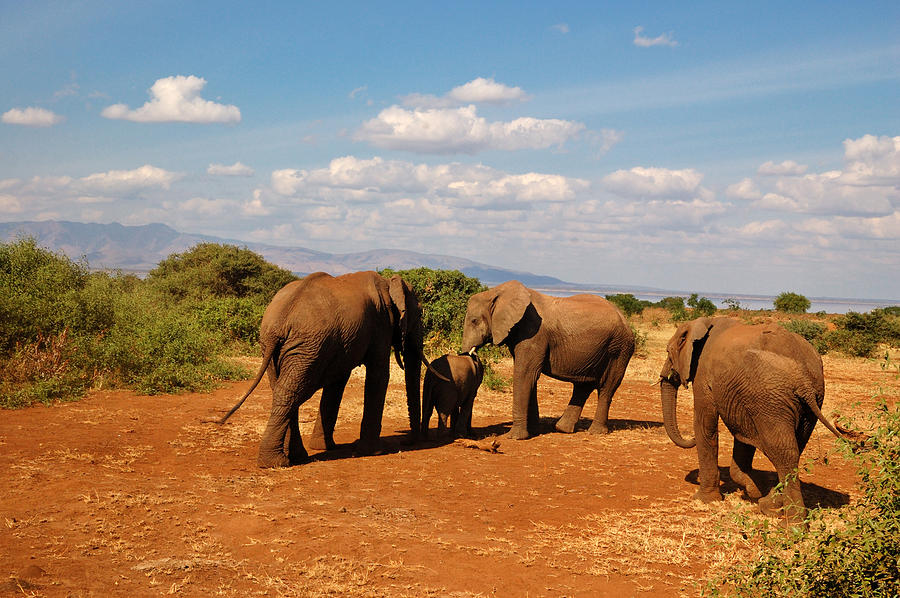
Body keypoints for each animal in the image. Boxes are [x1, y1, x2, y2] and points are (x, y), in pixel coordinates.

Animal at [215, 270, 446, 472]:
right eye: (419, 314)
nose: (408, 441)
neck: (388, 282)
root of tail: (280, 320)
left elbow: (337, 382)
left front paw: (326, 447)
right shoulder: (381, 325)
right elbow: (378, 375)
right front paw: (373, 451)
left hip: (286, 348)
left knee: (286, 392)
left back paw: (295, 457)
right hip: (306, 347)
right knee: (291, 392)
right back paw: (277, 462)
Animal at [464, 282, 632, 440]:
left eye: (474, 321)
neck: (497, 292)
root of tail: (624, 319)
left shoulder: (534, 333)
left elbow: (525, 374)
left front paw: (515, 437)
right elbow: (530, 377)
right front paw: (533, 432)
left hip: (619, 349)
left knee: (606, 387)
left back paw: (595, 432)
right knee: (583, 386)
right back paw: (562, 429)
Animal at [656, 316, 848, 524]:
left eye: (668, 352)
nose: (667, 374)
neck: (705, 322)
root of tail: (803, 379)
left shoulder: (703, 375)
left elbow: (705, 426)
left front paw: (704, 499)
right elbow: (743, 438)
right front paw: (752, 490)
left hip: (770, 399)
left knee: (783, 452)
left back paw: (790, 523)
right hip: (808, 400)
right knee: (794, 448)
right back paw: (769, 504)